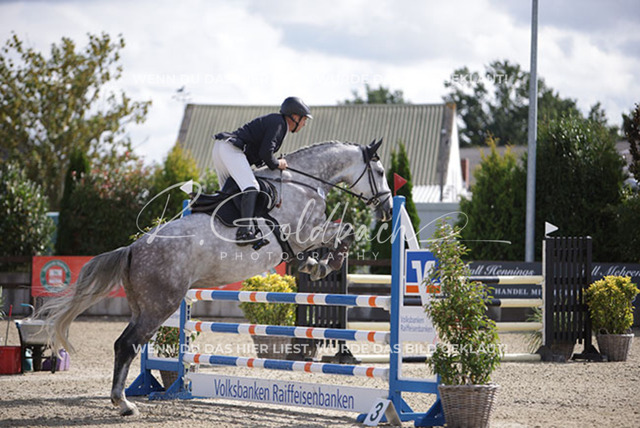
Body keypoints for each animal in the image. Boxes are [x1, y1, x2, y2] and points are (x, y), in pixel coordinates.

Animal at [37, 139, 392, 416]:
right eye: (380, 172)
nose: (388, 209)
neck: (302, 183)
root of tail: (133, 249)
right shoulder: (305, 232)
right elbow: (344, 231)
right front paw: (328, 262)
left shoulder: (302, 239)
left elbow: (319, 247)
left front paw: (313, 265)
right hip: (160, 305)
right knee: (127, 344)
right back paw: (124, 404)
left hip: (143, 306)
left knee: (125, 343)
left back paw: (124, 399)